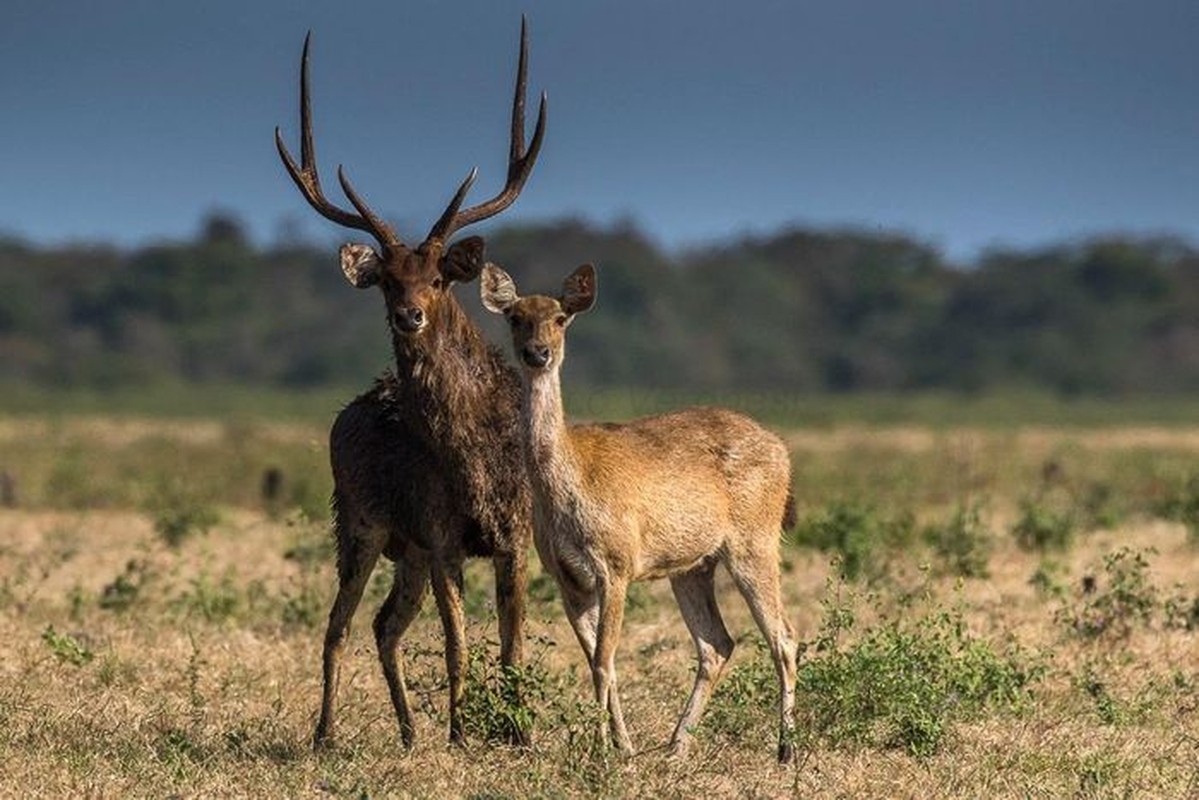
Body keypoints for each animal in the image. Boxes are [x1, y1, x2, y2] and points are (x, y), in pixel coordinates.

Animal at [274, 21, 546, 753]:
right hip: (360, 520)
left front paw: (517, 734)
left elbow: (513, 645)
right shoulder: (441, 531)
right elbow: (457, 644)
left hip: (407, 552)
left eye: (438, 277)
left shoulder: (516, 532)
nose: (409, 315)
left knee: (384, 625)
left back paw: (406, 730)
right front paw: (461, 733)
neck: (474, 458)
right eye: (388, 281)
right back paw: (326, 733)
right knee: (339, 625)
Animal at [481, 263, 800, 762]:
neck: (570, 485)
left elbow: (603, 660)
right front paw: (623, 748)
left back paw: (785, 750)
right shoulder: (567, 577)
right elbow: (598, 660)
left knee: (783, 636)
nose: (538, 353)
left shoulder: (617, 563)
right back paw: (674, 747)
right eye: (515, 317)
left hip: (756, 541)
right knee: (717, 643)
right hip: (692, 566)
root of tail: (783, 452)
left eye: (560, 318)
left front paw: (602, 752)